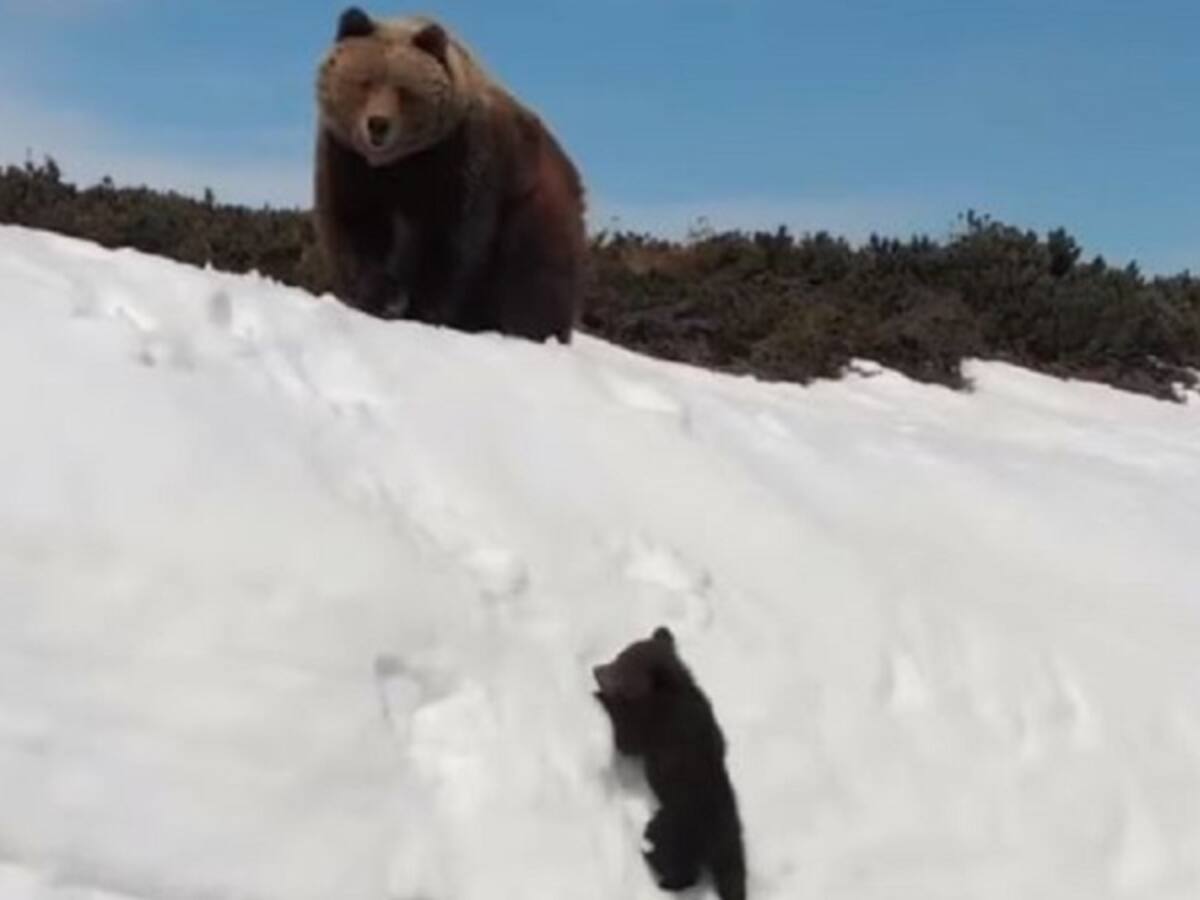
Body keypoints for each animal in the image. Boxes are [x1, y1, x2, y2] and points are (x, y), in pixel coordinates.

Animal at [313, 7, 587, 343]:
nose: (378, 124)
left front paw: (425, 311)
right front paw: (382, 297)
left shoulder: (461, 160)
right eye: (365, 82)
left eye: (404, 91)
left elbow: (451, 241)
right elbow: (354, 222)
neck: (400, 163)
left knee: (534, 283)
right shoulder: (348, 159)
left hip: (535, 210)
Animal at [593, 626, 746, 900]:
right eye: (619, 654)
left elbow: (626, 741)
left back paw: (657, 869)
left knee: (675, 859)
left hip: (675, 825)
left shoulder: (653, 726)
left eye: (620, 667)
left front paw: (602, 698)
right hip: (730, 841)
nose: (596, 670)